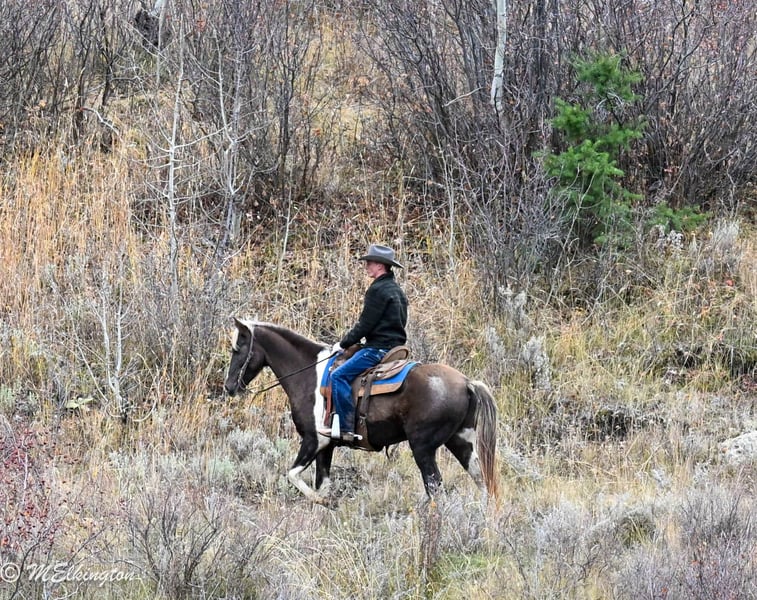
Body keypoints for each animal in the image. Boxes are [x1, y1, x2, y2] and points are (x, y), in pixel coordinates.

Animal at [223, 319, 499, 505]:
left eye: (238, 348)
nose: (229, 386)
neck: (309, 373)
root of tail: (466, 382)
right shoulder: (327, 446)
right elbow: (323, 483)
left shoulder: (313, 440)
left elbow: (293, 476)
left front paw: (325, 502)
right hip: (461, 442)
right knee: (482, 481)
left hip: (422, 448)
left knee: (436, 489)